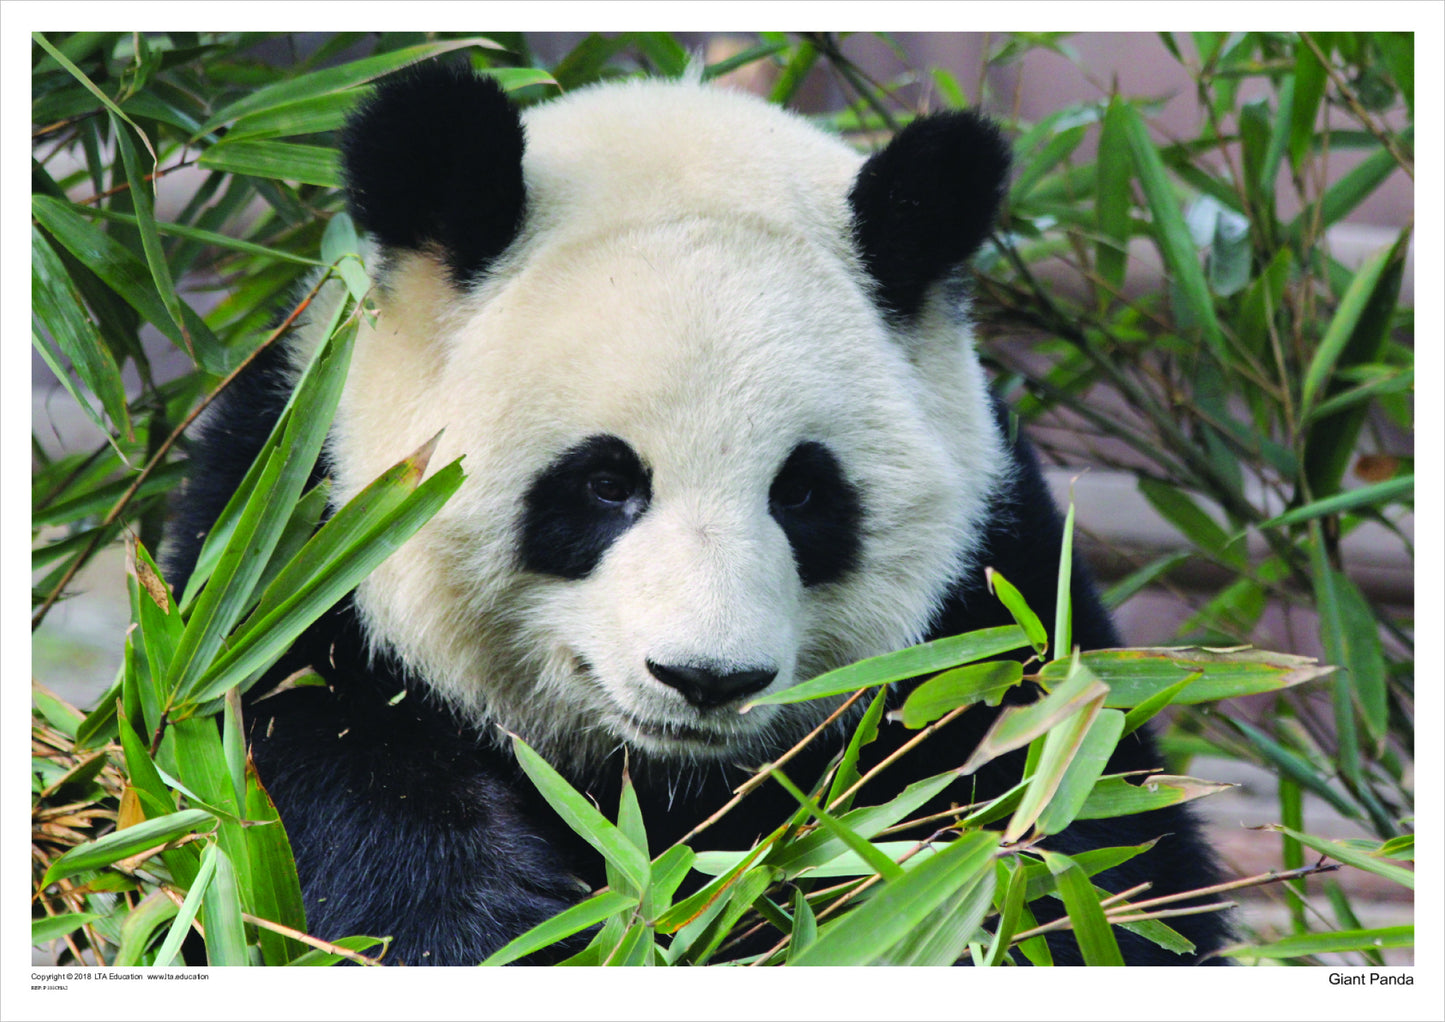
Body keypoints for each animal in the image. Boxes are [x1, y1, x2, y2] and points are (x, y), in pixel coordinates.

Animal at [167, 62, 1229, 966]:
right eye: (604, 482)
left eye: (800, 490)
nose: (706, 678)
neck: (654, 788)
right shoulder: (286, 569)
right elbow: (297, 781)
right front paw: (483, 929)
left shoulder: (993, 615)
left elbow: (1080, 855)